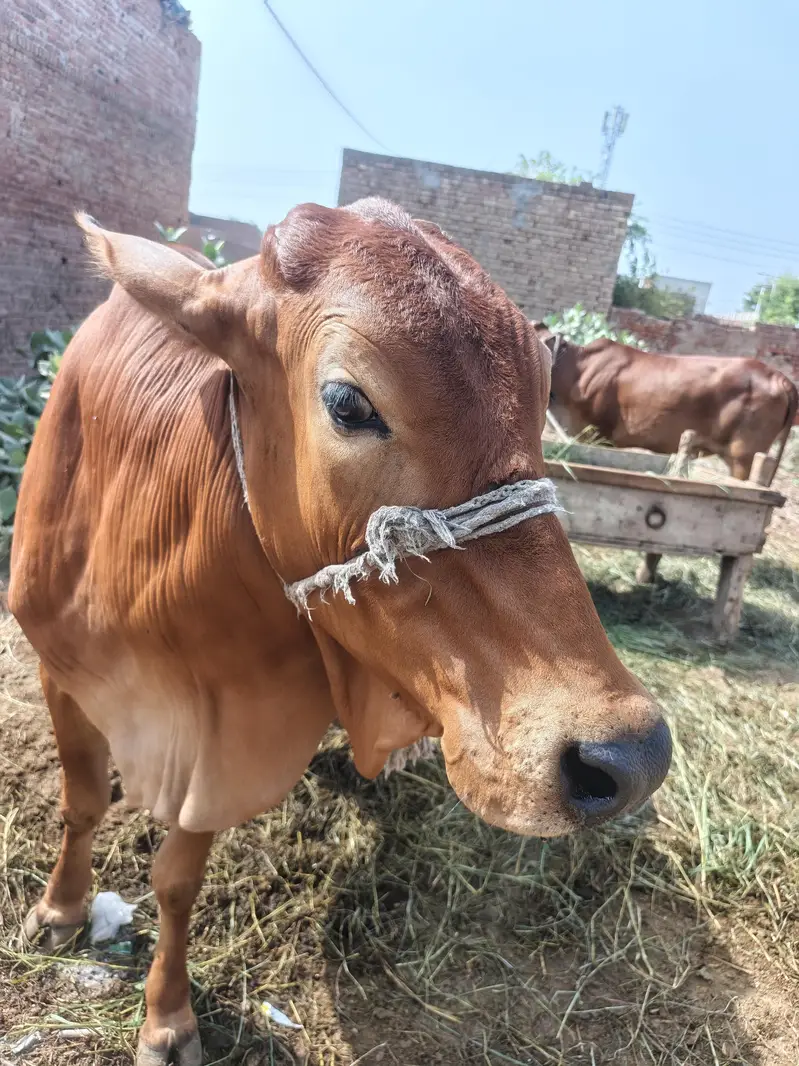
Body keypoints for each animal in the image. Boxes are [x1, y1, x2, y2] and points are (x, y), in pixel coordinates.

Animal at [10, 200, 671, 1066]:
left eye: (536, 406)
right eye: (348, 404)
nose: (630, 754)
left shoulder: (227, 734)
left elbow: (177, 879)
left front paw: (167, 1018)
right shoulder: (59, 666)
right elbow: (82, 803)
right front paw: (60, 911)